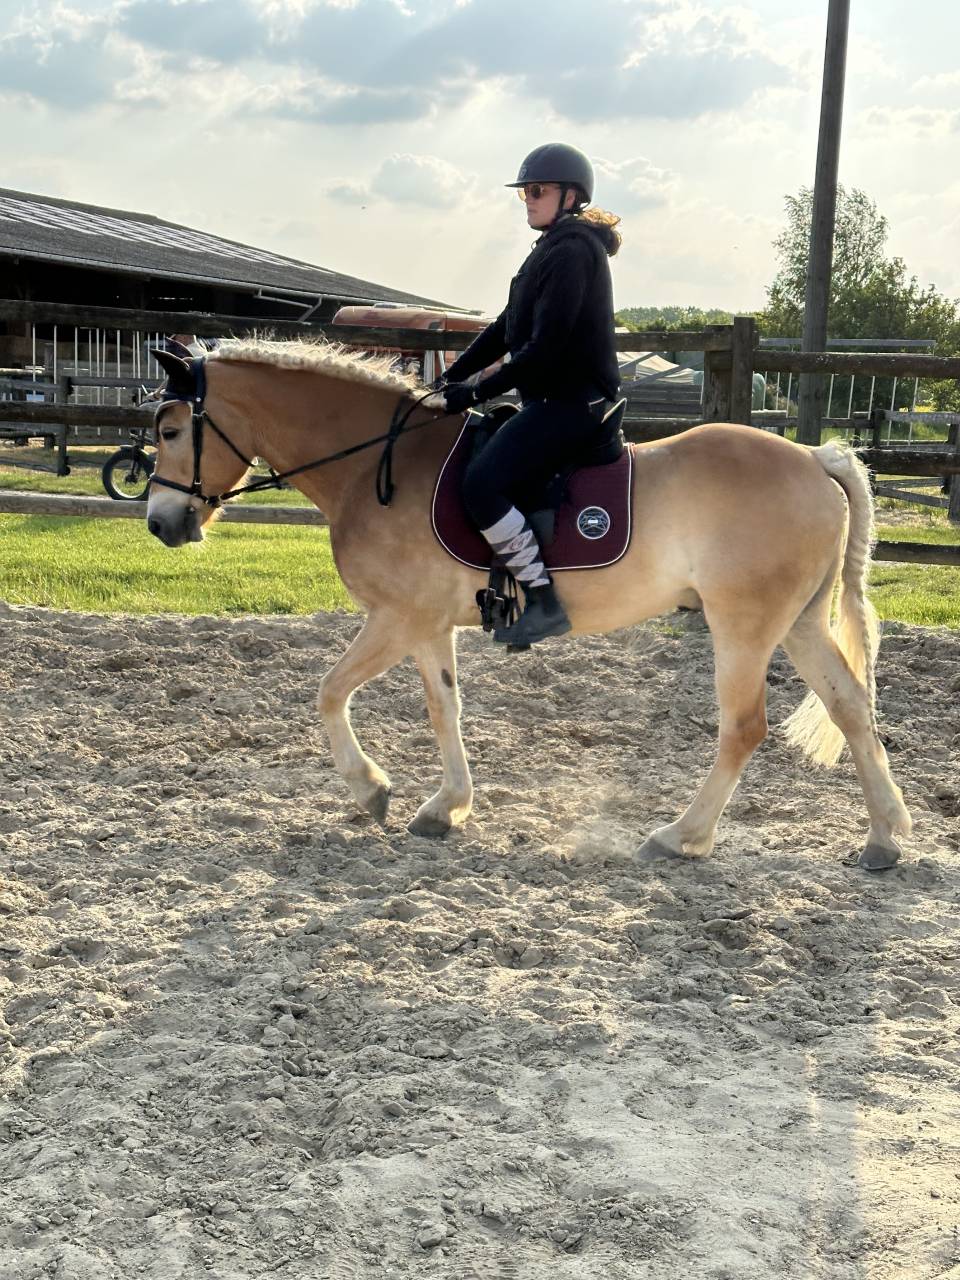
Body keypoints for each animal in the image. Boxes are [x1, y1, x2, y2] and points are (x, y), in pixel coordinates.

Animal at [145, 339, 911, 871]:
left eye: (172, 430)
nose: (160, 524)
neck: (374, 466)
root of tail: (813, 458)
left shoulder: (398, 618)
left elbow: (330, 692)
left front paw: (371, 790)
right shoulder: (428, 626)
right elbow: (444, 709)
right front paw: (445, 808)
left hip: (744, 626)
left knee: (745, 727)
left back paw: (680, 836)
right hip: (799, 623)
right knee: (852, 707)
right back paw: (884, 839)